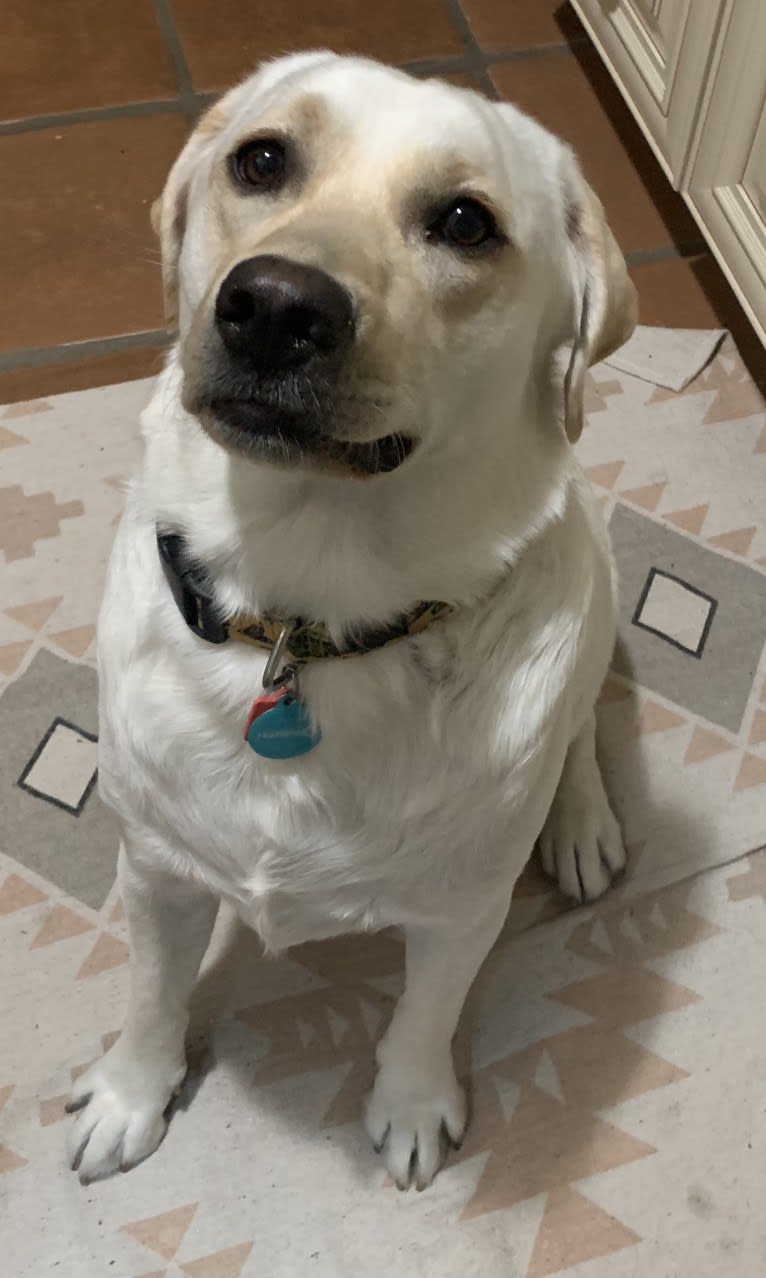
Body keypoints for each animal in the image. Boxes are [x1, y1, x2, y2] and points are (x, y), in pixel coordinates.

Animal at [67, 49, 634, 1185]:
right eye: (261, 160)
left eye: (464, 222)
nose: (274, 306)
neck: (304, 617)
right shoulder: (153, 865)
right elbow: (152, 994)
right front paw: (130, 1096)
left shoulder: (461, 910)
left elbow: (423, 1018)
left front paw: (411, 1111)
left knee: (582, 727)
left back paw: (583, 823)